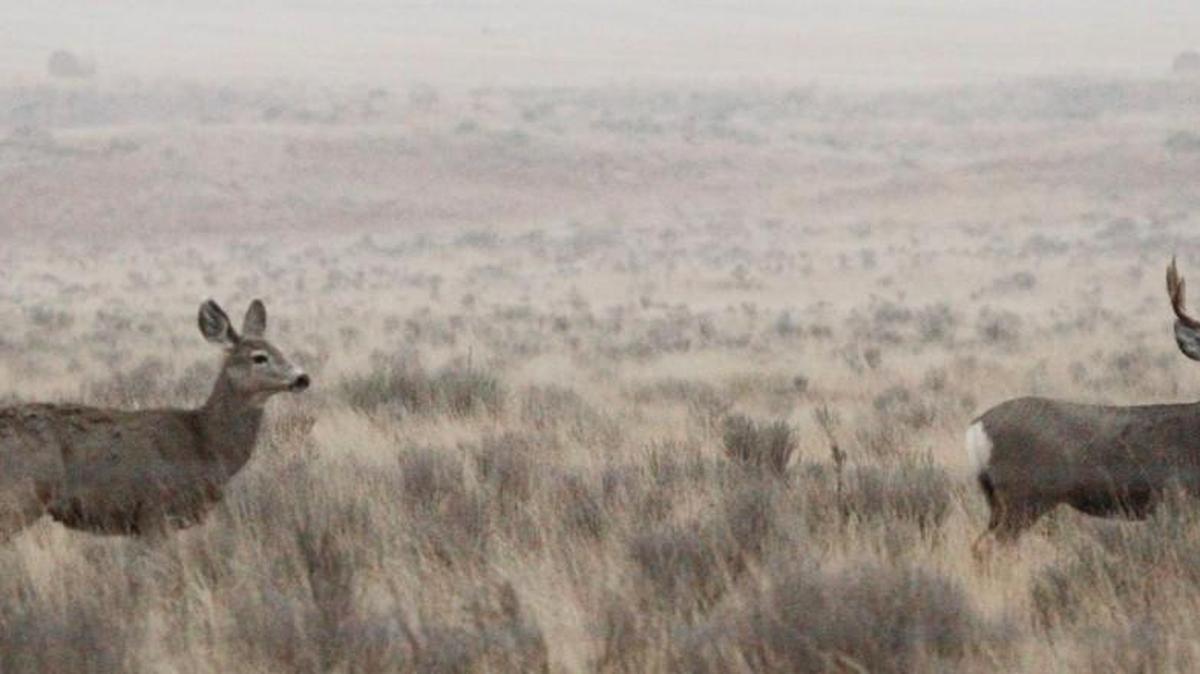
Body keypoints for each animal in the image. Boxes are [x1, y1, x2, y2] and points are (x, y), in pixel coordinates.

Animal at [0, 299, 309, 541]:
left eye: (281, 349)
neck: (205, 443)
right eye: (259, 357)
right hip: (19, 495)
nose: (302, 377)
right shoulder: (154, 511)